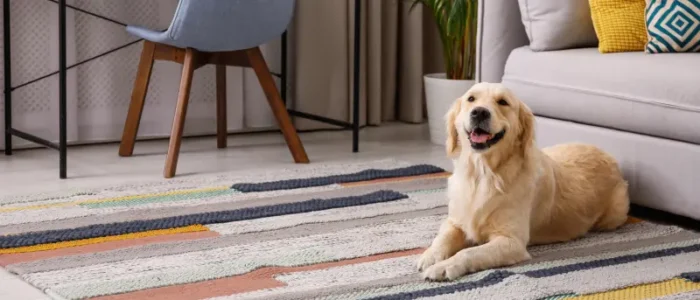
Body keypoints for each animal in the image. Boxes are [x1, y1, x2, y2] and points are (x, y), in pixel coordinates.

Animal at [416, 82, 628, 282]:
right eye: (471, 99)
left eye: (502, 102)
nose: (479, 112)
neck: (482, 174)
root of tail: (610, 157)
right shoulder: (455, 220)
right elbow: (442, 238)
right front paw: (430, 256)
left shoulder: (512, 242)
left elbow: (468, 252)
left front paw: (443, 267)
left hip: (614, 215)